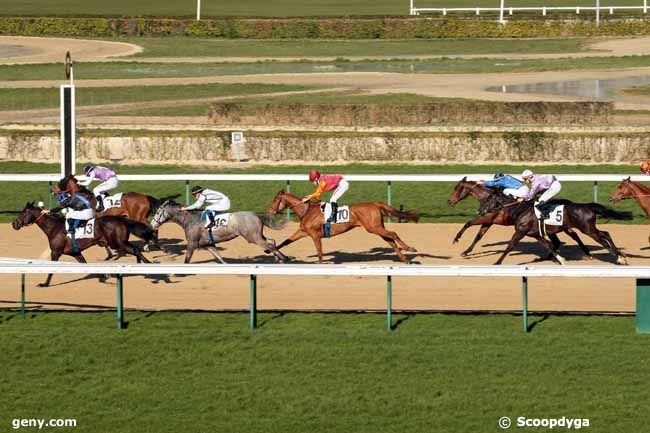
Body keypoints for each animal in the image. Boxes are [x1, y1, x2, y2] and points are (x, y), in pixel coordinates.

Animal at [151, 200, 288, 264]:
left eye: (157, 212)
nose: (152, 225)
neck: (190, 220)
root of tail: (256, 215)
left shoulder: (192, 243)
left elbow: (186, 260)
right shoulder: (208, 244)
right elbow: (219, 257)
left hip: (253, 237)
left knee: (269, 245)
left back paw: (284, 258)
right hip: (257, 235)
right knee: (271, 241)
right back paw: (279, 258)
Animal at [266, 190, 418, 264]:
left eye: (275, 200)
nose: (270, 211)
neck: (306, 211)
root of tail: (375, 203)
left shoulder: (315, 235)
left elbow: (319, 252)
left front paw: (320, 264)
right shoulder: (302, 231)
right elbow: (286, 241)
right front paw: (270, 250)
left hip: (373, 228)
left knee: (393, 234)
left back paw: (410, 249)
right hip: (377, 227)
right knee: (390, 240)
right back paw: (404, 258)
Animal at [448, 176, 588, 260]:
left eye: (456, 188)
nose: (449, 201)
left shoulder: (486, 218)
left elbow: (468, 223)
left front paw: (456, 239)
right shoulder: (488, 221)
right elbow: (478, 236)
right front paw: (466, 251)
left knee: (572, 235)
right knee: (562, 239)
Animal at [478, 192, 632, 264]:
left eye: (488, 199)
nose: (479, 211)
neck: (521, 210)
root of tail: (588, 206)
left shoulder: (520, 231)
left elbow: (509, 246)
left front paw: (497, 262)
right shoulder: (535, 234)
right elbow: (548, 245)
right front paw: (560, 259)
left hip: (588, 229)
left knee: (604, 235)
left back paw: (619, 257)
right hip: (586, 228)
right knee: (605, 235)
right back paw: (618, 256)